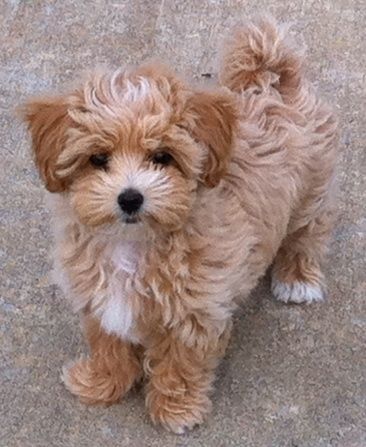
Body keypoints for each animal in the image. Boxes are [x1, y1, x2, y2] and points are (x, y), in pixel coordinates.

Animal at [21, 18, 338, 434]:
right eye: (98, 158)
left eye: (162, 157)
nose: (130, 198)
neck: (133, 244)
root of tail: (272, 81)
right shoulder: (97, 297)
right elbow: (107, 343)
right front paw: (102, 383)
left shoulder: (196, 311)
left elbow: (179, 363)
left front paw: (175, 410)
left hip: (311, 193)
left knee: (307, 234)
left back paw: (297, 278)